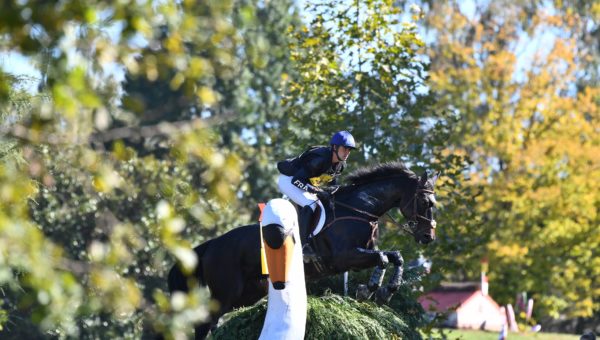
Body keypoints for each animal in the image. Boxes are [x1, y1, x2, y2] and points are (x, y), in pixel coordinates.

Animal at [166, 161, 438, 338]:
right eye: (425, 202)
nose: (428, 237)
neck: (360, 208)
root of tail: (213, 244)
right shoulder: (345, 257)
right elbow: (383, 258)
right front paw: (369, 289)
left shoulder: (359, 255)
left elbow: (395, 257)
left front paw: (384, 292)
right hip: (226, 291)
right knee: (204, 324)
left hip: (248, 292)